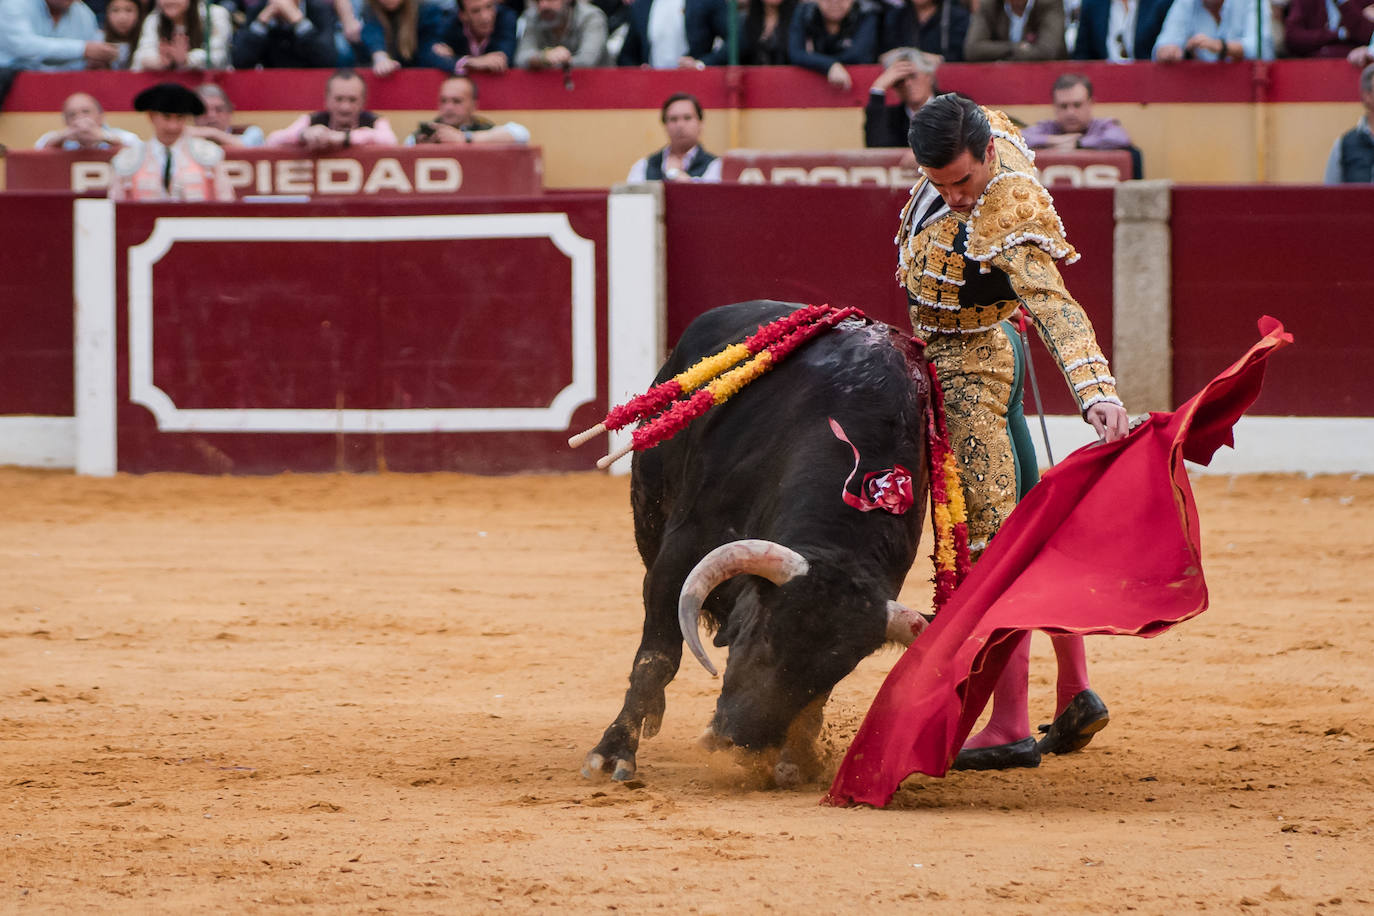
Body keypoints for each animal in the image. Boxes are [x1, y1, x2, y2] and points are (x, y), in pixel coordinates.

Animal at [579, 300, 934, 791]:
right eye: (757, 635)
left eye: (836, 670)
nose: (740, 742)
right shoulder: (678, 556)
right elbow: (657, 655)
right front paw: (612, 754)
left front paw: (793, 760)